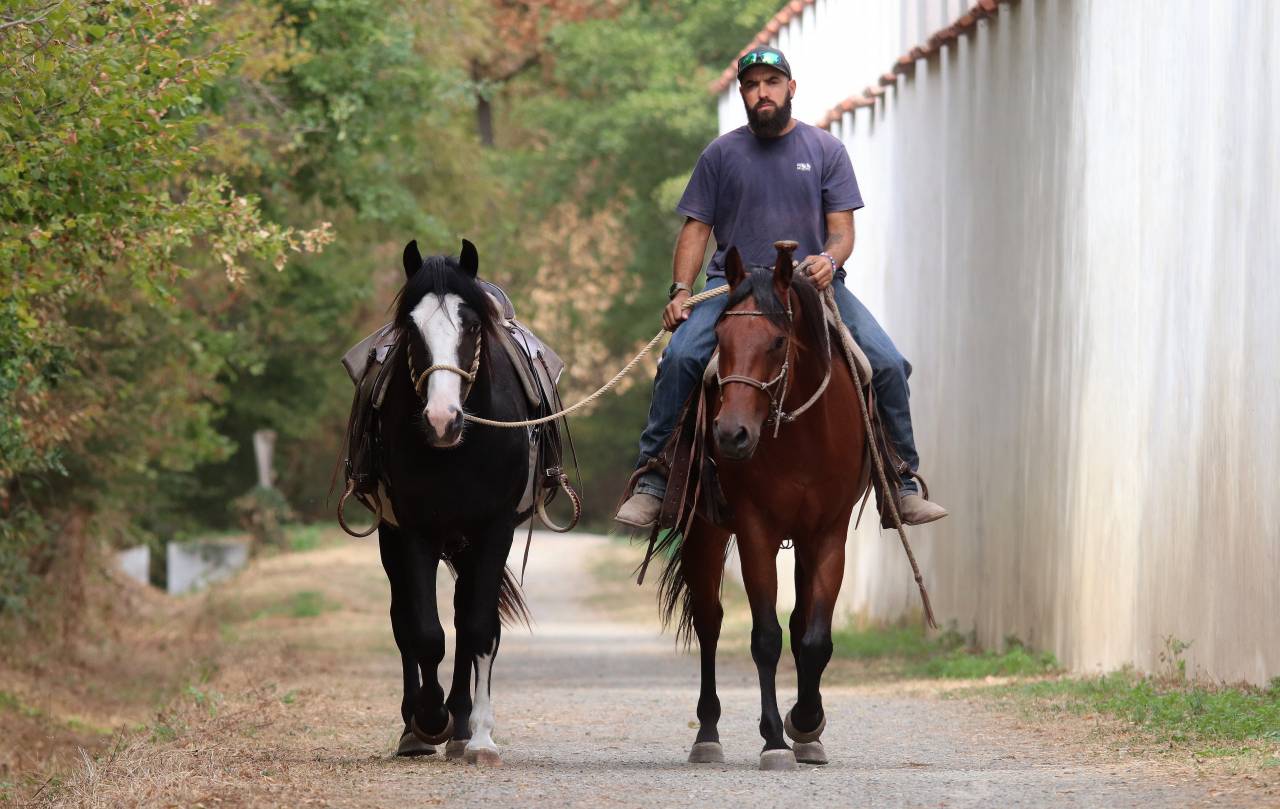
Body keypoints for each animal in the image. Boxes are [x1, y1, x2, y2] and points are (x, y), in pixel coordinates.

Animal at [375, 238, 533, 765]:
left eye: (471, 326)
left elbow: (480, 628)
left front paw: (479, 735)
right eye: (411, 328)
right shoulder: (411, 530)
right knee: (404, 619)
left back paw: (463, 727)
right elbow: (425, 632)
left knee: (468, 617)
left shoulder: (495, 527)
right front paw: (428, 719)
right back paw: (417, 728)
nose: (442, 420)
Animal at [656, 243, 870, 770]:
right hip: (706, 532)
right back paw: (707, 734)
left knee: (796, 624)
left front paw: (807, 723)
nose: (731, 435)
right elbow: (766, 637)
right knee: (709, 622)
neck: (802, 435)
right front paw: (774, 738)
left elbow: (813, 637)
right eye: (720, 336)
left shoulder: (827, 533)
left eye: (777, 342)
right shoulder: (756, 531)